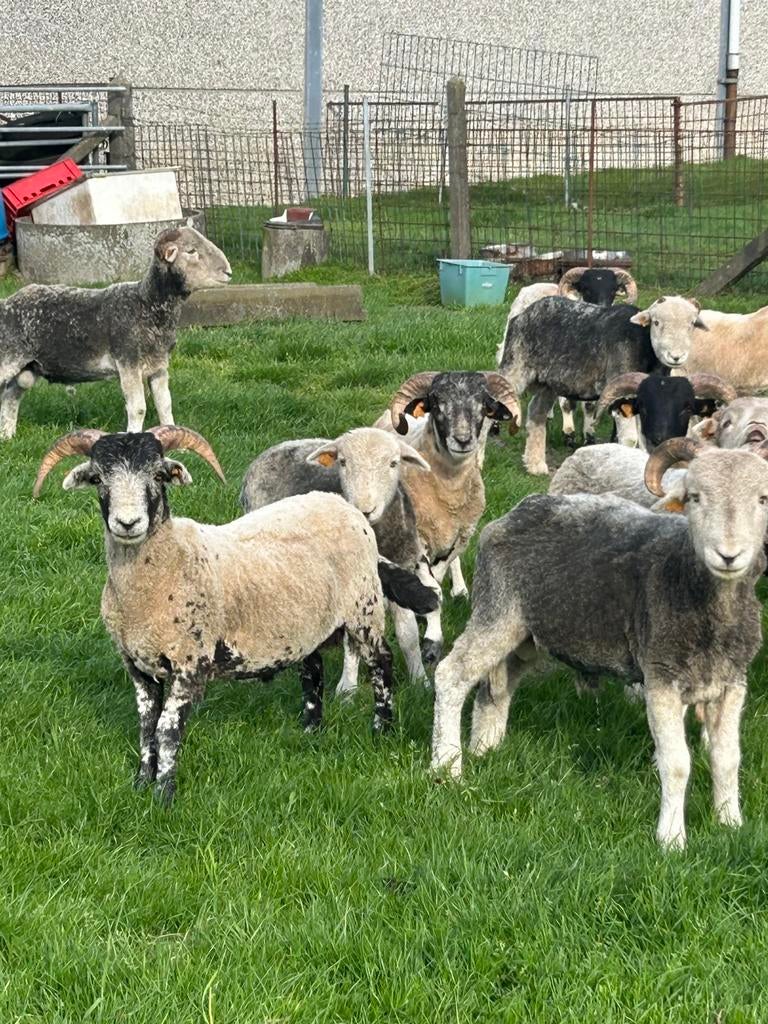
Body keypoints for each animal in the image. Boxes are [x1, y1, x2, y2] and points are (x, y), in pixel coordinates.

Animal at [0, 226, 231, 439]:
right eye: (191, 251)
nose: (228, 272)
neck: (146, 306)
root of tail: (6, 304)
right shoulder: (128, 361)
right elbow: (138, 408)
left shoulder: (159, 365)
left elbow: (165, 404)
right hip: (8, 358)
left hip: (28, 368)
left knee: (11, 396)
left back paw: (8, 435)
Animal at [240, 427, 440, 692]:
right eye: (343, 462)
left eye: (393, 463)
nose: (365, 509)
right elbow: (352, 642)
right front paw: (347, 688)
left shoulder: (404, 568)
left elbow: (408, 635)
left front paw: (420, 680)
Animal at [432, 438, 768, 848]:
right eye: (694, 497)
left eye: (762, 499)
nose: (729, 555)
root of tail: (512, 514)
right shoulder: (660, 678)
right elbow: (676, 764)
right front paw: (671, 839)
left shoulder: (732, 682)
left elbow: (727, 758)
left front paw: (730, 823)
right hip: (497, 609)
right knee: (452, 675)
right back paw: (447, 766)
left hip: (526, 633)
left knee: (496, 689)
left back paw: (485, 749)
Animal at [498, 295, 707, 475]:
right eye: (656, 322)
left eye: (691, 325)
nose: (676, 356)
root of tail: (523, 313)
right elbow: (630, 440)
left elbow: (644, 440)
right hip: (515, 364)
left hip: (549, 382)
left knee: (536, 413)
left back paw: (535, 465)